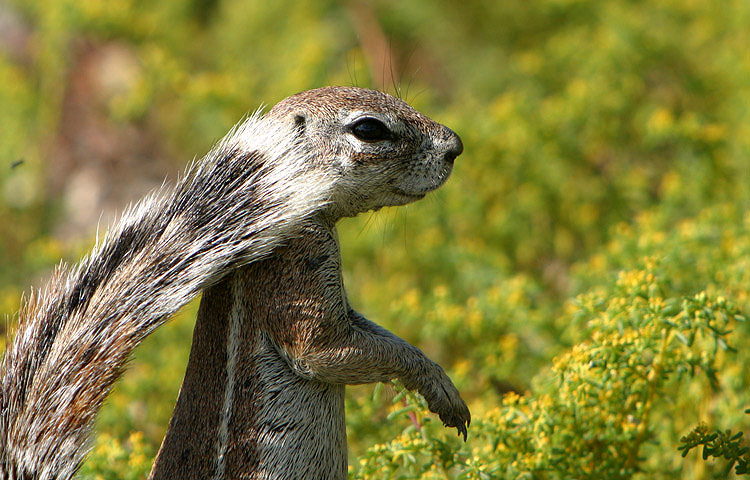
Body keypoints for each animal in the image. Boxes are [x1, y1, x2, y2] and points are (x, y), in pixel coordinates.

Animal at [0, 87, 470, 480]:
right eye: (369, 129)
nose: (456, 147)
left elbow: (373, 332)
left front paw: (442, 385)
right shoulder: (293, 266)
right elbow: (321, 350)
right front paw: (439, 389)